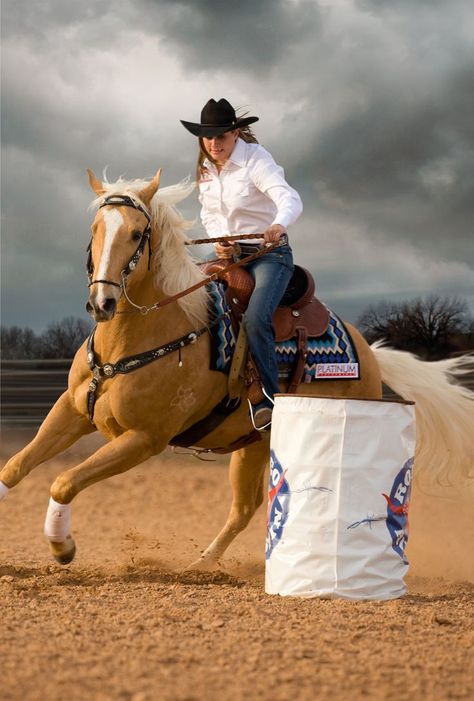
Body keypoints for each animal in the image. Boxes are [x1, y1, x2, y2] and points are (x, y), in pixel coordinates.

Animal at [0, 171, 472, 568]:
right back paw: (201, 566)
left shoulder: (143, 439)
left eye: (136, 233)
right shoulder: (73, 410)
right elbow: (15, 468)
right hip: (253, 445)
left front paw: (63, 547)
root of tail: (368, 353)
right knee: (245, 508)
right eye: (95, 231)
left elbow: (63, 482)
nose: (103, 302)